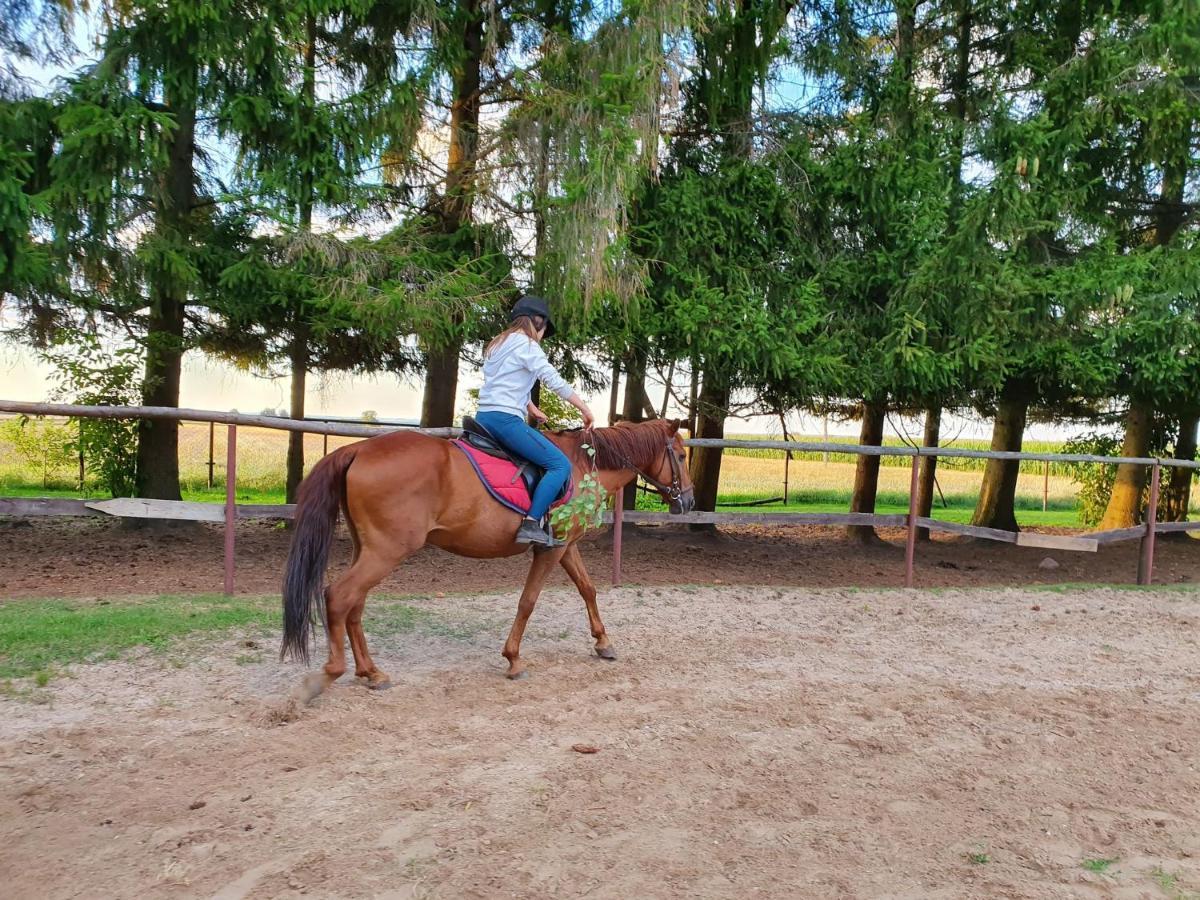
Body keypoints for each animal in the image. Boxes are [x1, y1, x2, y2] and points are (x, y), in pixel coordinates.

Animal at [279, 420, 696, 700]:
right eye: (679, 454)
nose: (689, 501)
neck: (582, 465)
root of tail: (358, 450)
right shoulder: (550, 549)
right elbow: (528, 601)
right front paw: (513, 659)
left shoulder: (565, 546)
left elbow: (588, 589)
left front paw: (603, 642)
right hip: (386, 552)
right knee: (338, 597)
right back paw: (328, 675)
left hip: (369, 550)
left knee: (354, 605)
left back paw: (371, 672)